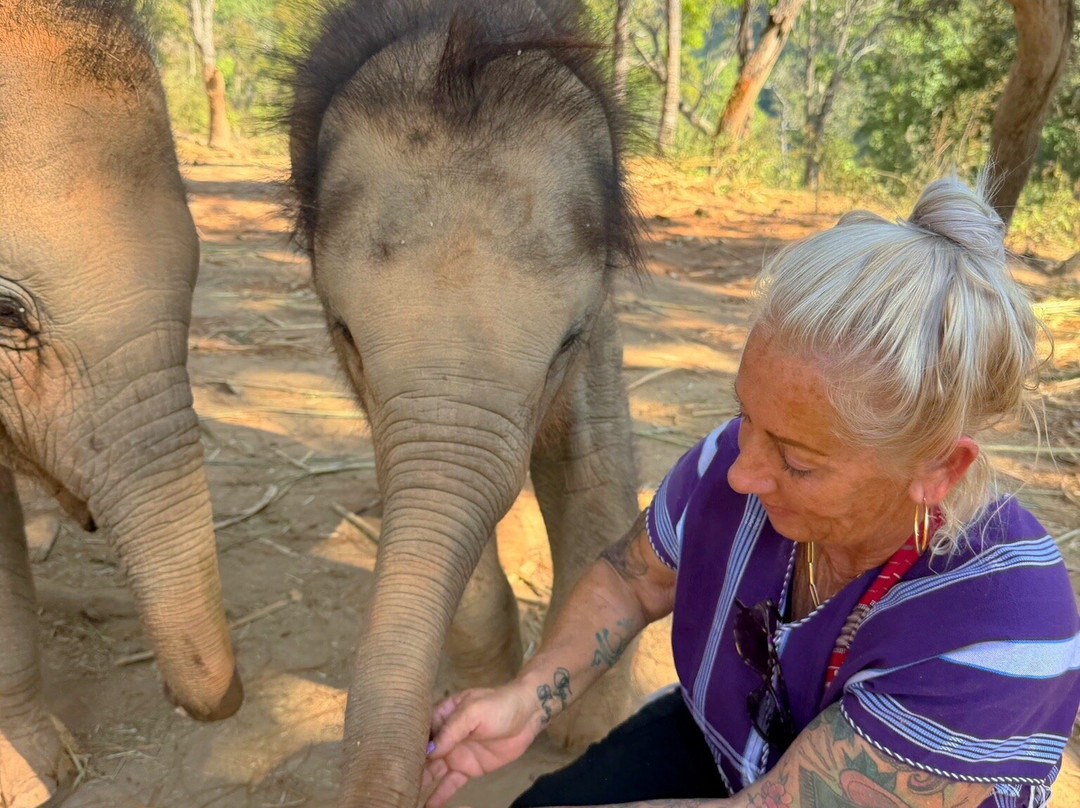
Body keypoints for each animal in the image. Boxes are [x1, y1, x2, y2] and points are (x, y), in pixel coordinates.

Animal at [287, 1, 643, 805]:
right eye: (344, 330)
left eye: (568, 339)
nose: (432, 741)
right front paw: (488, 676)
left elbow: (592, 465)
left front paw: (586, 731)